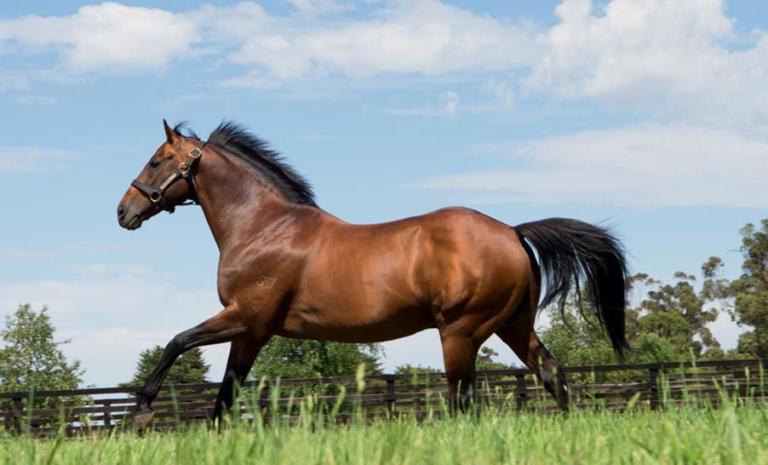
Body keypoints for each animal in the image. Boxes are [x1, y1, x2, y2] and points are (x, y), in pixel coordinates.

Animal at [117, 120, 629, 426]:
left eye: (157, 159)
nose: (124, 211)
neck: (264, 226)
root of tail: (512, 232)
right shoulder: (252, 333)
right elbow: (225, 395)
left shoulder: (245, 316)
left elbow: (177, 342)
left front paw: (141, 411)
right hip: (513, 327)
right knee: (553, 378)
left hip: (460, 332)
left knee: (463, 400)